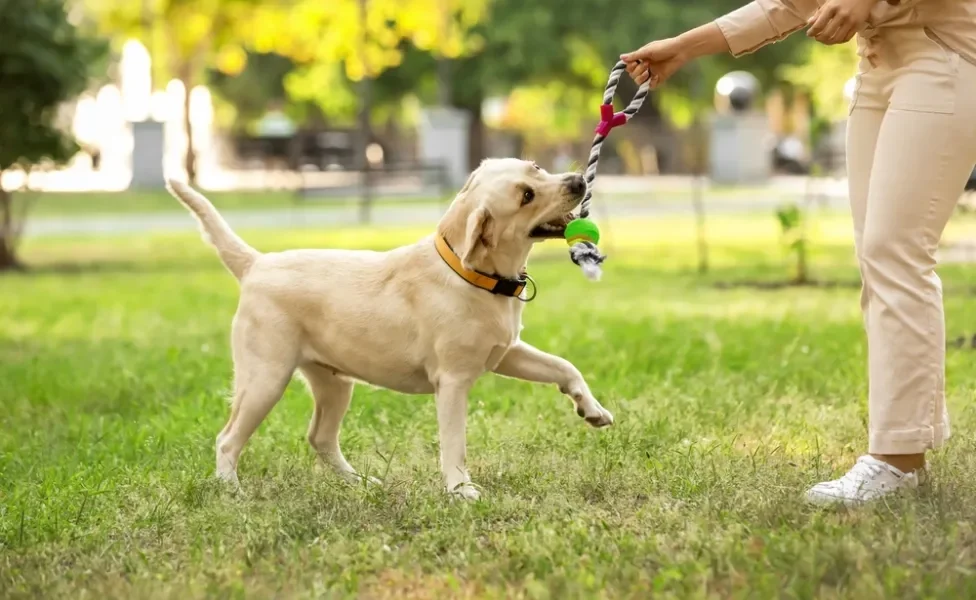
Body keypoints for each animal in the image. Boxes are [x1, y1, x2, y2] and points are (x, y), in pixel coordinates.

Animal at [165, 157, 612, 500]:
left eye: (535, 167)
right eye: (526, 196)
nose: (578, 180)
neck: (471, 273)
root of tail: (256, 263)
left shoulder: (506, 352)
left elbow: (563, 366)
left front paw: (592, 409)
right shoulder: (453, 381)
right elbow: (455, 442)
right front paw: (460, 490)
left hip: (334, 383)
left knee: (320, 438)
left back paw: (360, 483)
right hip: (265, 378)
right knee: (228, 439)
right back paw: (231, 491)